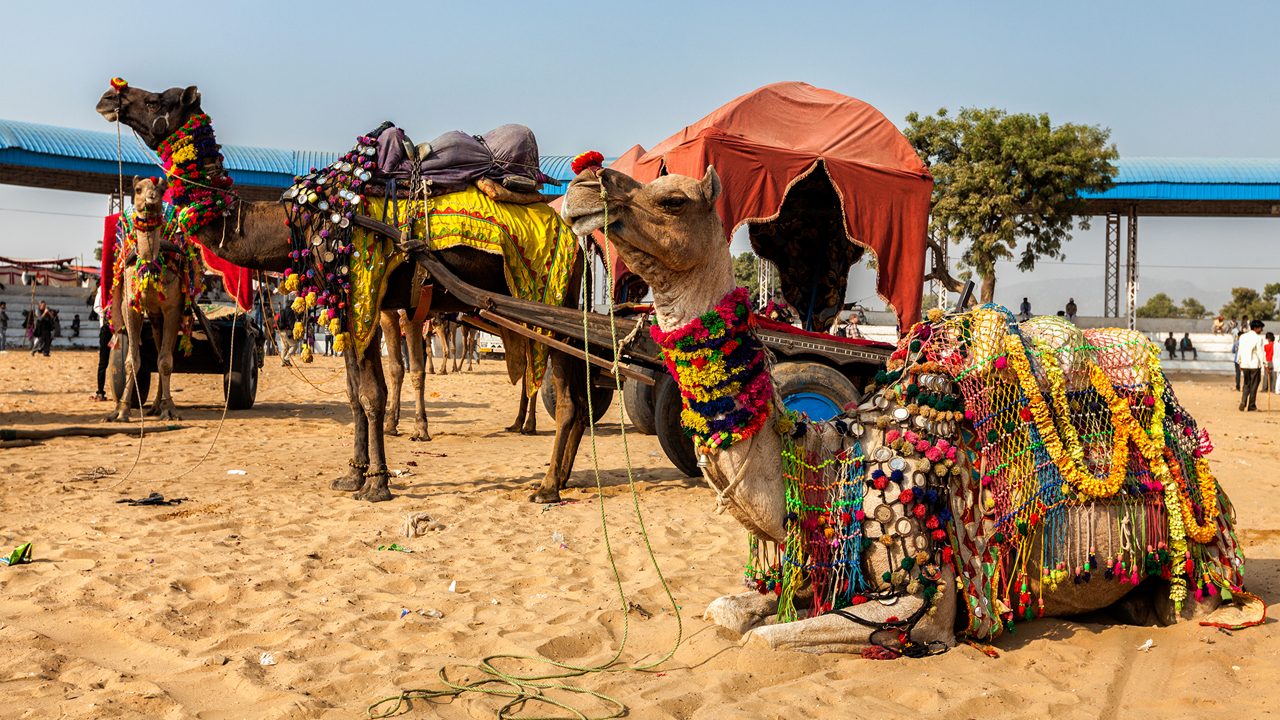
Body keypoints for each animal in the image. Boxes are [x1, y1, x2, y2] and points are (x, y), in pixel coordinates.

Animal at [108, 176, 185, 422]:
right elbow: (132, 361)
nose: (151, 199)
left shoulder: (173, 308)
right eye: (138, 189)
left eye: (160, 189)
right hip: (153, 314)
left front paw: (170, 408)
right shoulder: (130, 306)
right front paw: (122, 409)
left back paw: (160, 405)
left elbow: (166, 362)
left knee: (163, 352)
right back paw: (153, 406)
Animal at [562, 166, 1248, 653]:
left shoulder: (924, 598)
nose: (581, 184)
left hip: (1197, 548)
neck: (829, 461)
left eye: (673, 200)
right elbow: (729, 613)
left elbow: (765, 639)